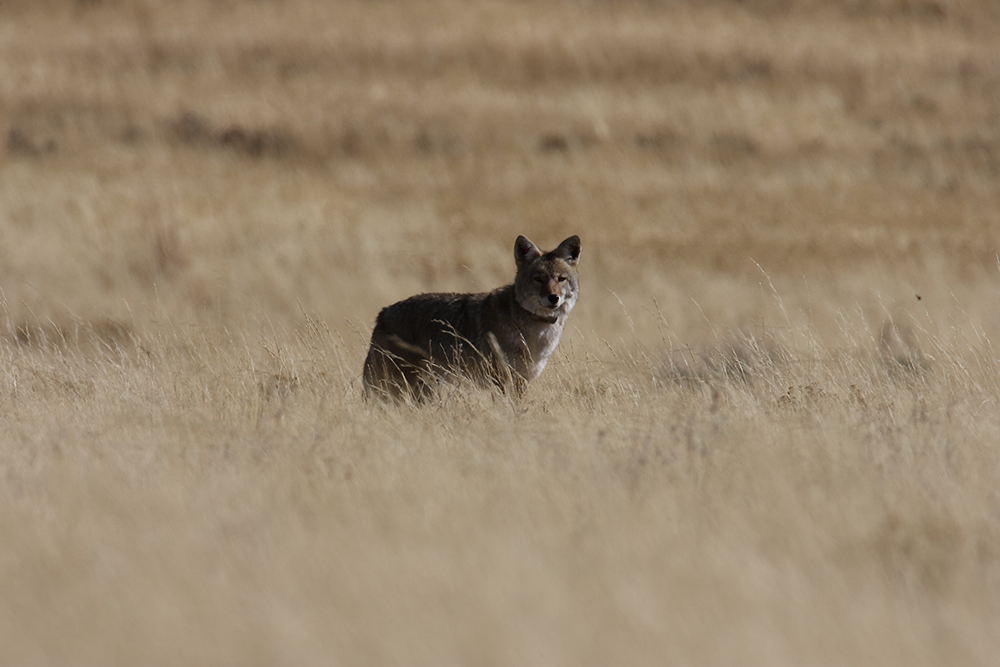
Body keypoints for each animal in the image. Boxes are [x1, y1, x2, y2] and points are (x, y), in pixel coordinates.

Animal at [362, 234, 581, 403]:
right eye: (538, 279)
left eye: (561, 279)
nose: (553, 298)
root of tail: (382, 313)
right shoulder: (502, 379)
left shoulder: (522, 380)